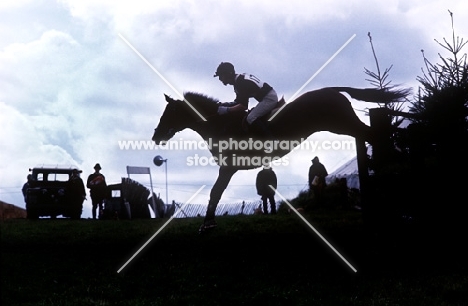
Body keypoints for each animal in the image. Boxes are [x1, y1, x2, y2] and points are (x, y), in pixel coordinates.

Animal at [153, 86, 406, 232]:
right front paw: (209, 222)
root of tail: (333, 91)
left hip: (341, 123)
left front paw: (207, 224)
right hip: (345, 125)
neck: (220, 123)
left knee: (374, 135)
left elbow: (216, 192)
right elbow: (216, 192)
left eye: (169, 113)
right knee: (371, 135)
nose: (156, 136)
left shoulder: (228, 167)